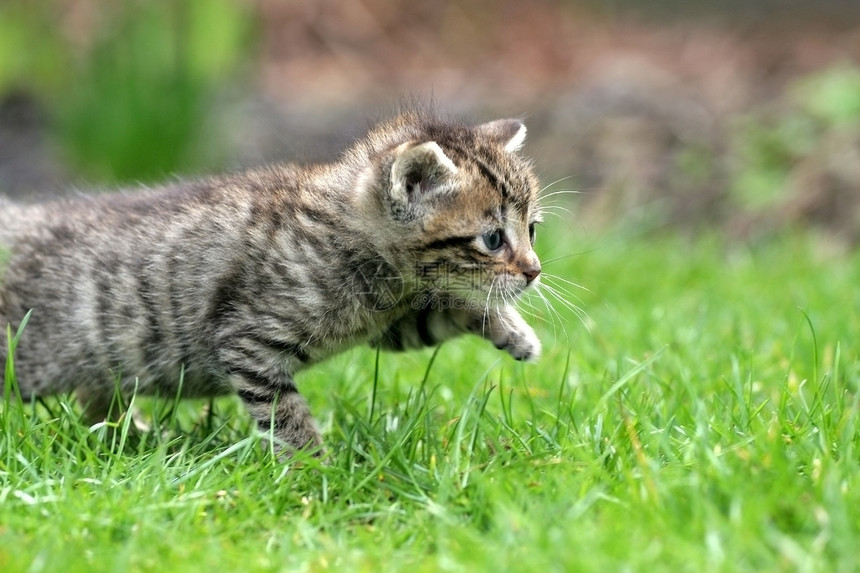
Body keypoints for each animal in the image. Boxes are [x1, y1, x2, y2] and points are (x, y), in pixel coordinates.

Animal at [0, 110, 540, 452]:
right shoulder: (248, 342)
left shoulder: (386, 325)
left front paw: (514, 332)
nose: (534, 271)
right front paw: (314, 474)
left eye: (532, 229)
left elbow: (443, 312)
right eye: (493, 238)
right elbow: (287, 417)